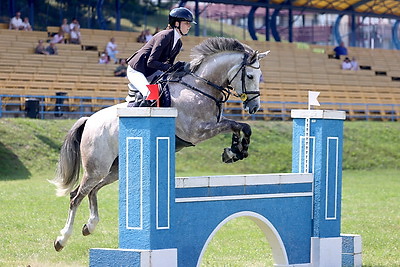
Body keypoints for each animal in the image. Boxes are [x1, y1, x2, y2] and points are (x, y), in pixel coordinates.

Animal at [50, 36, 268, 252]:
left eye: (259, 75)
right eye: (250, 76)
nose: (254, 107)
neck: (201, 87)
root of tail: (89, 120)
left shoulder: (212, 125)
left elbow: (240, 126)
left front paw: (234, 151)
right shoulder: (198, 131)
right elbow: (236, 125)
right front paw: (235, 150)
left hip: (114, 169)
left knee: (93, 190)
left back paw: (90, 226)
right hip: (97, 167)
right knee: (76, 196)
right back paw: (62, 239)